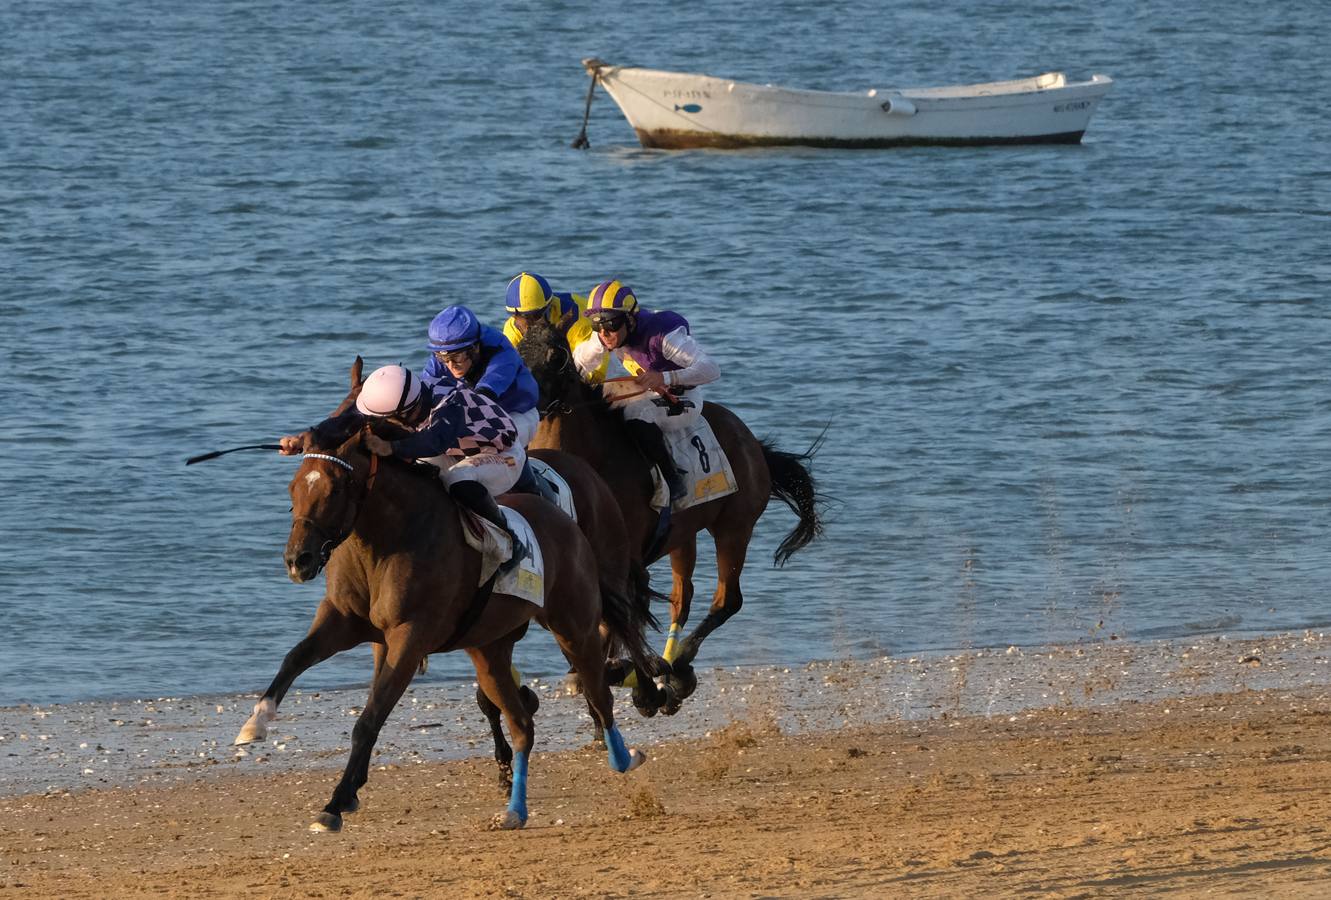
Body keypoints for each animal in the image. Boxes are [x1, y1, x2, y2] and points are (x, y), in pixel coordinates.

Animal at [238, 418, 660, 830]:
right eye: (294, 488)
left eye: (336, 489)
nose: (298, 560)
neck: (391, 538)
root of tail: (566, 521)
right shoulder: (344, 621)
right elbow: (295, 658)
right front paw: (255, 723)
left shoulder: (409, 636)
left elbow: (369, 719)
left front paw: (336, 803)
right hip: (490, 649)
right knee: (522, 722)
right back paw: (515, 810)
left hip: (574, 627)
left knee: (599, 694)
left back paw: (622, 756)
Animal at [516, 319, 819, 708]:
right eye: (517, 351)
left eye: (556, 355)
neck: (593, 462)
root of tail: (751, 440)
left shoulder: (623, 560)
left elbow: (618, 619)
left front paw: (635, 680)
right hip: (682, 535)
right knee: (681, 600)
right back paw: (672, 671)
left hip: (734, 526)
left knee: (727, 600)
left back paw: (679, 666)